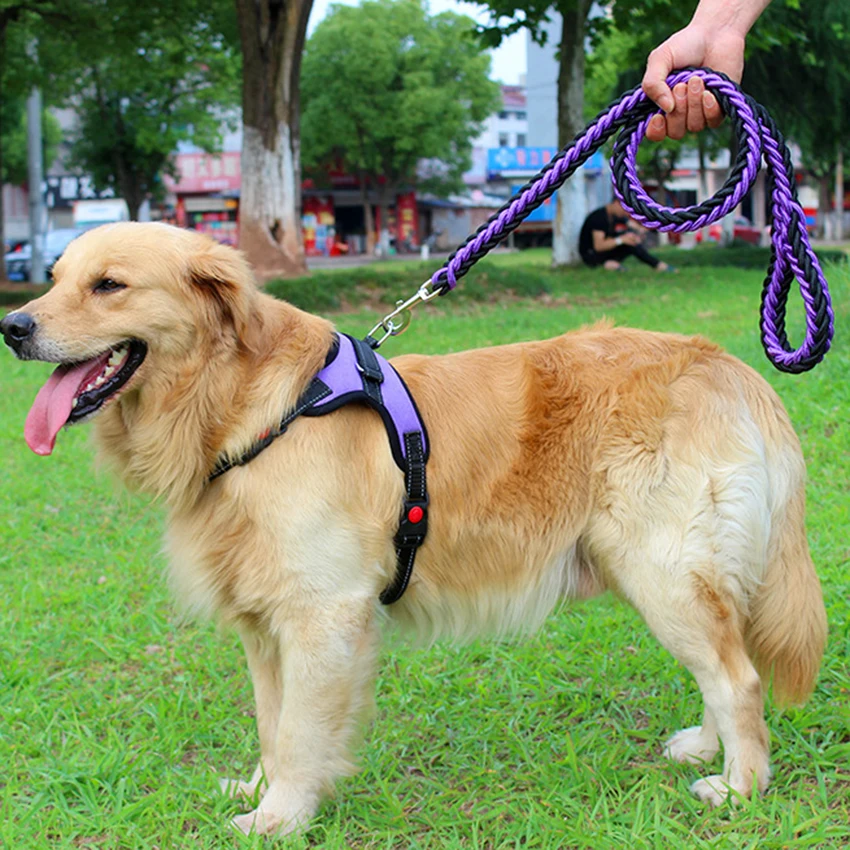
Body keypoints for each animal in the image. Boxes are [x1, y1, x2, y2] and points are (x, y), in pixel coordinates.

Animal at [0, 222, 820, 832]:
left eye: (109, 285)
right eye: (56, 275)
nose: (12, 324)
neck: (245, 411)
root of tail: (729, 367)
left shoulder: (323, 613)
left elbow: (299, 730)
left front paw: (280, 817)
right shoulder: (265, 623)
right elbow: (273, 721)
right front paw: (265, 790)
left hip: (665, 571)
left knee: (739, 678)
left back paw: (740, 785)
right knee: (722, 669)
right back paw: (706, 750)